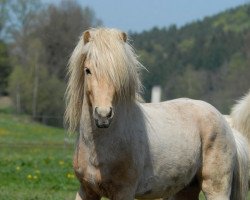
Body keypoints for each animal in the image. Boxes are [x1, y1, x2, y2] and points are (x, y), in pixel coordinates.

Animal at [65, 28, 249, 200]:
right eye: (87, 70)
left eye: (119, 74)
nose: (103, 115)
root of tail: (225, 122)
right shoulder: (86, 191)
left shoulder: (124, 192)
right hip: (186, 188)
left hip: (216, 187)